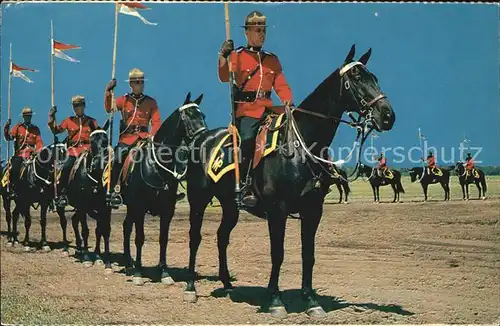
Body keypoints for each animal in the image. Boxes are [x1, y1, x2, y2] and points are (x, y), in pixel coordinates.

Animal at [56, 122, 113, 270]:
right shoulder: (83, 206)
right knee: (64, 222)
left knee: (74, 221)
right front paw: (88, 258)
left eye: (105, 141)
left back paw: (79, 248)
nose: (99, 164)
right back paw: (67, 248)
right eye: (92, 142)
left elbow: (102, 230)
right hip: (63, 206)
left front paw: (103, 259)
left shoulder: (103, 207)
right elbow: (86, 230)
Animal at [114, 95, 205, 286]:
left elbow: (163, 239)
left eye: (203, 115)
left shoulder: (167, 210)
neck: (156, 166)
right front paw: (139, 273)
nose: (203, 136)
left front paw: (164, 272)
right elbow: (140, 238)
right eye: (188, 116)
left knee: (126, 227)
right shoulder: (140, 207)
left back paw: (128, 263)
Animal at [183, 44, 394, 318]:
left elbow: (308, 255)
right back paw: (190, 287)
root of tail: (201, 137)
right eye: (357, 78)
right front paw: (275, 300)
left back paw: (228, 284)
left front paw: (311, 300)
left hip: (230, 205)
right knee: (195, 236)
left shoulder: (313, 210)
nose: (388, 115)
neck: (302, 146)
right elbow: (278, 254)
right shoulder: (277, 210)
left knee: (222, 237)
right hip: (198, 198)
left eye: (374, 78)